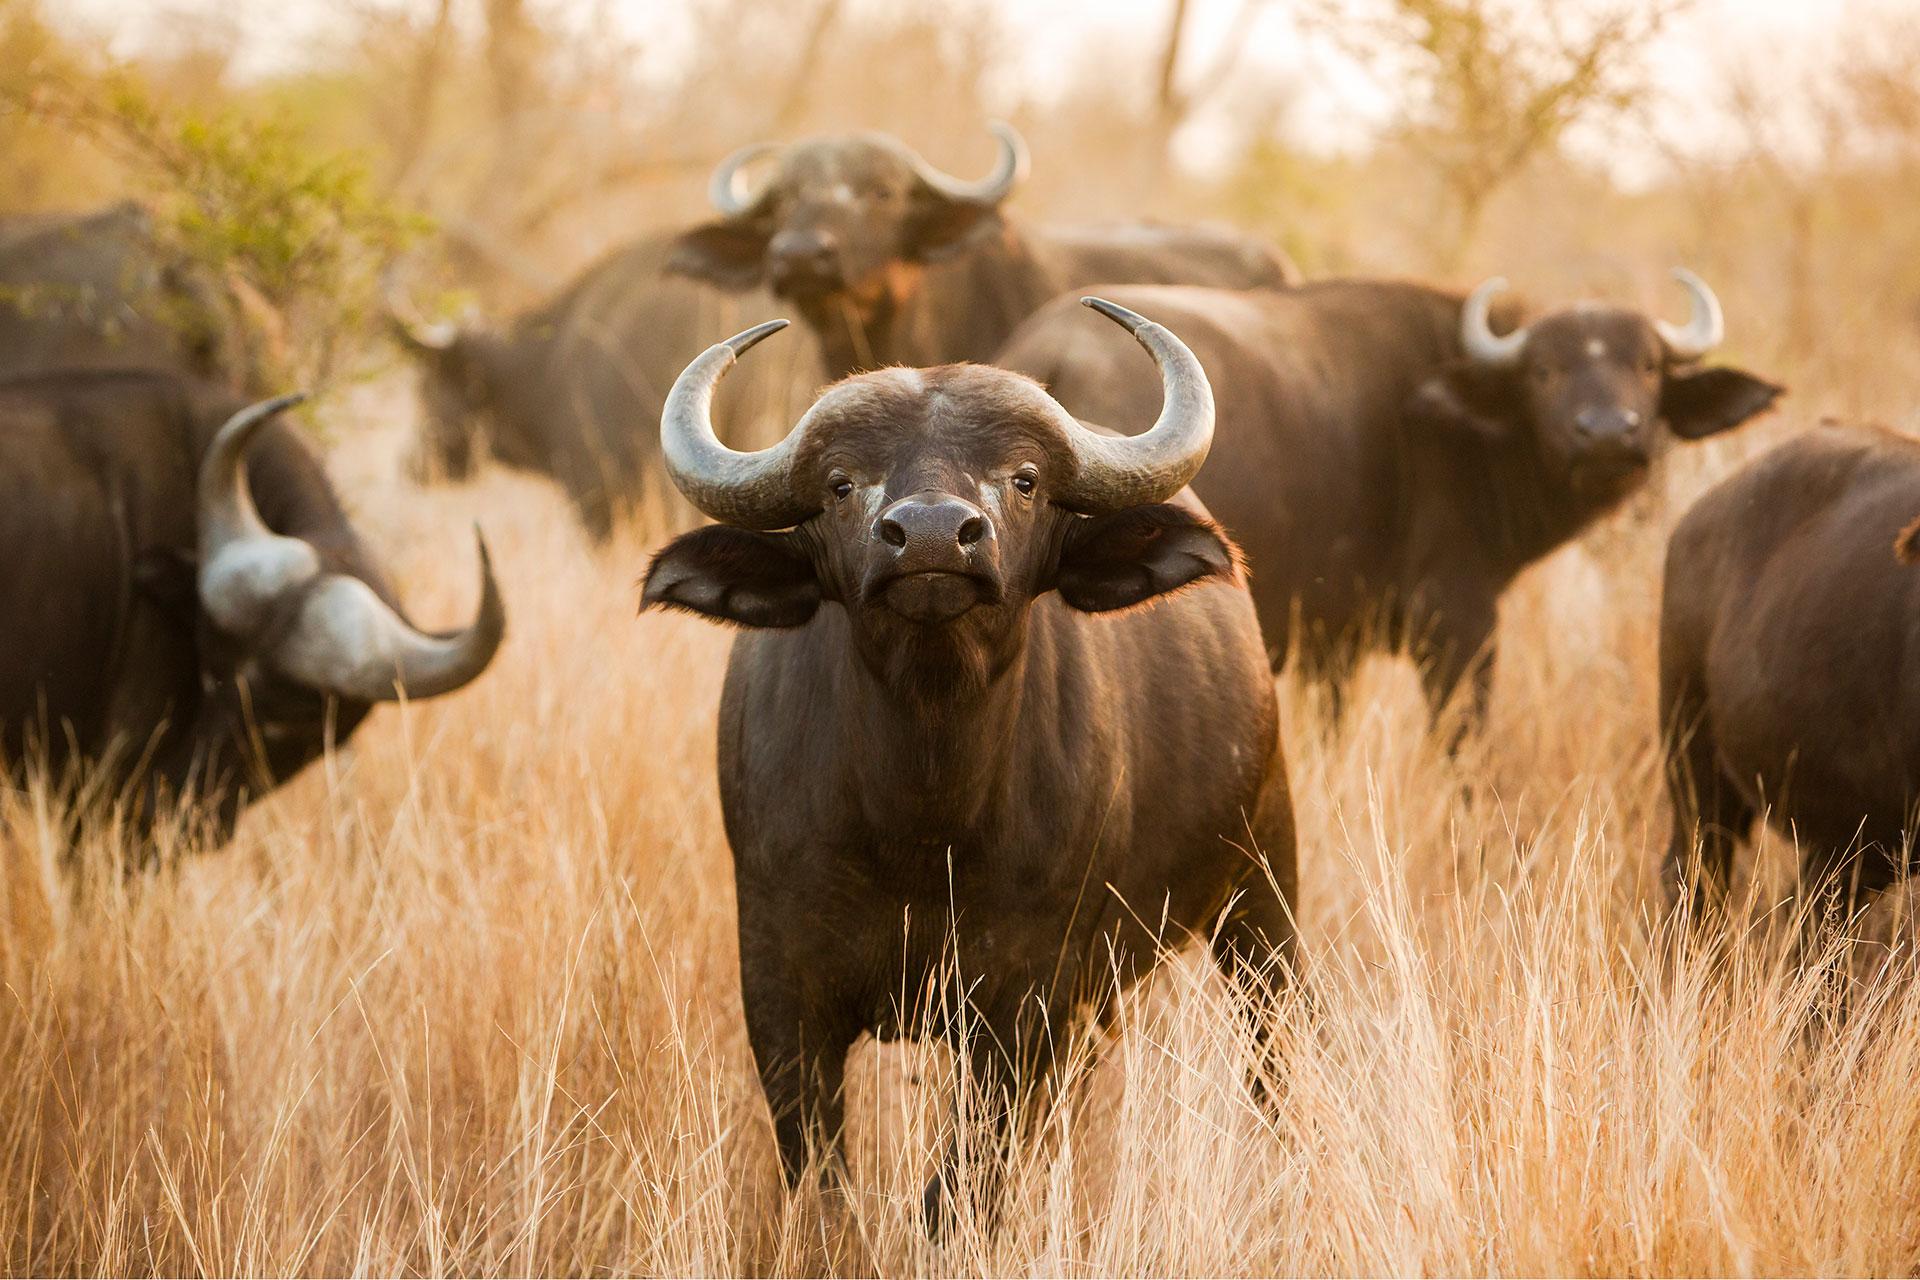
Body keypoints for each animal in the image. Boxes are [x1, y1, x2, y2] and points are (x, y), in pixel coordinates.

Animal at [641, 300, 1295, 1229]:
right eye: (840, 483)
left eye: (1023, 478)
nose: (929, 537)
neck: (921, 816)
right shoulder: (780, 992)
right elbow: (825, 1182)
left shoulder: (1026, 1004)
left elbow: (960, 1192)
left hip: (1263, 887)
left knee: (1273, 1045)